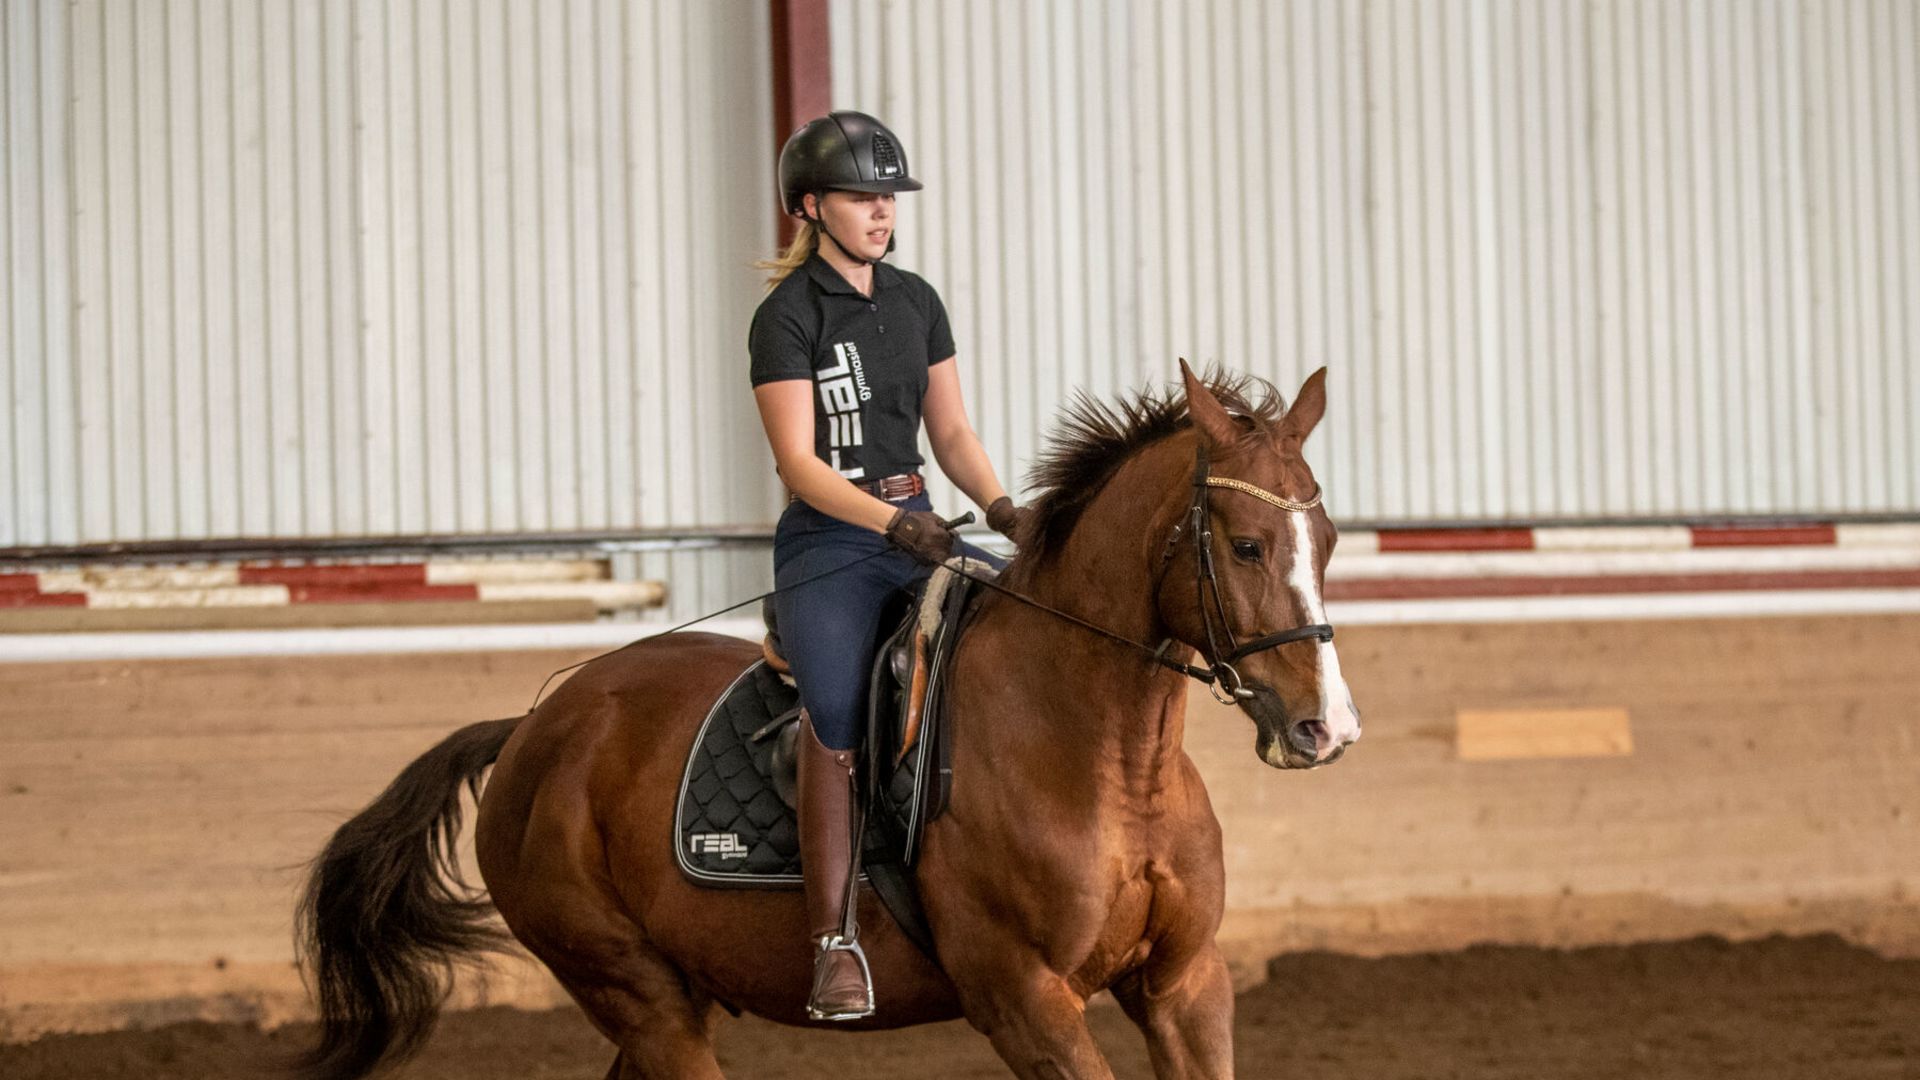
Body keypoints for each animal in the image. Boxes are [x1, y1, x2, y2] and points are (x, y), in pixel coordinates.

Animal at [291, 363, 1359, 1076]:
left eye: (1329, 538)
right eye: (1247, 544)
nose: (1327, 730)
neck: (1103, 756)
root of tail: (533, 730)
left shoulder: (1185, 986)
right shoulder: (1027, 1003)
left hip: (664, 1002)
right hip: (637, 995)